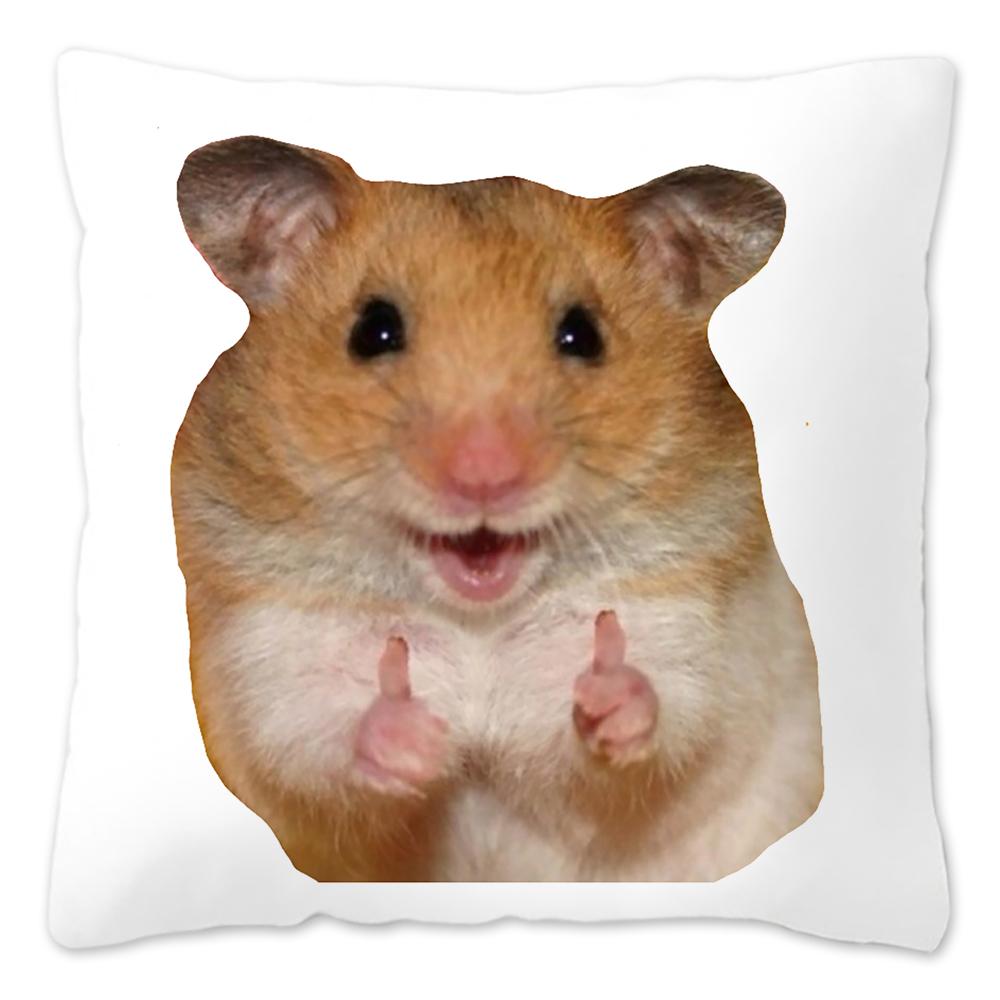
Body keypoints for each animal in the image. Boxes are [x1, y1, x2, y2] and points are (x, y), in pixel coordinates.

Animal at [173, 136, 822, 881]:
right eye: (373, 330)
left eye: (582, 334)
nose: (485, 477)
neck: (475, 621)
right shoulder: (274, 654)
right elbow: (315, 742)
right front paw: (415, 736)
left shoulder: (686, 633)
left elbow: (660, 724)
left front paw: (607, 691)